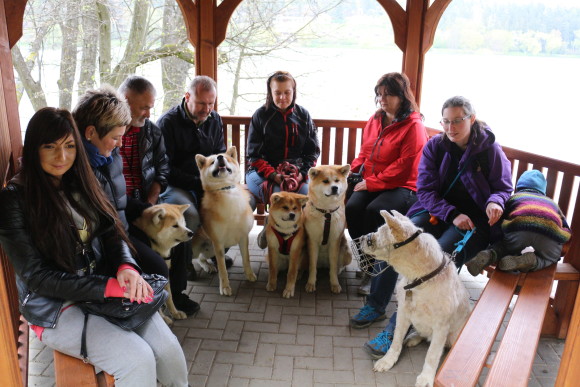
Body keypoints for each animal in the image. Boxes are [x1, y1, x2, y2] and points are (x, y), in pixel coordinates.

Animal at [194, 146, 255, 298]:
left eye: (226, 158)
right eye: (212, 162)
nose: (220, 157)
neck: (226, 191)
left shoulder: (243, 237)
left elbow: (246, 259)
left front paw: (249, 274)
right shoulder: (218, 243)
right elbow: (222, 269)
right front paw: (225, 287)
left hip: (209, 249)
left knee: (201, 257)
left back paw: (207, 266)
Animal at [304, 164, 354, 294]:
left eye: (337, 180)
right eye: (325, 181)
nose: (335, 188)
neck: (326, 212)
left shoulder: (334, 241)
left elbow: (333, 265)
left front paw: (335, 283)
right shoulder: (312, 241)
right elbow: (312, 266)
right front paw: (311, 283)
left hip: (347, 252)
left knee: (338, 265)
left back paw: (338, 270)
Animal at [356, 211, 474, 387]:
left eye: (376, 234)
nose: (363, 237)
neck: (419, 280)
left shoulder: (441, 326)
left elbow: (432, 354)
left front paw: (426, 378)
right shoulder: (403, 313)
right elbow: (396, 340)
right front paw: (387, 361)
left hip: (454, 335)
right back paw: (413, 338)